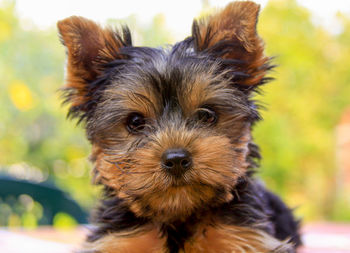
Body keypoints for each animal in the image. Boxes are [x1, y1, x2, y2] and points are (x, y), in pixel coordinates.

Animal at [57, 0, 300, 252]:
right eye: (135, 122)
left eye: (207, 115)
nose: (176, 159)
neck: (179, 214)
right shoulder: (118, 240)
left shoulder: (245, 236)